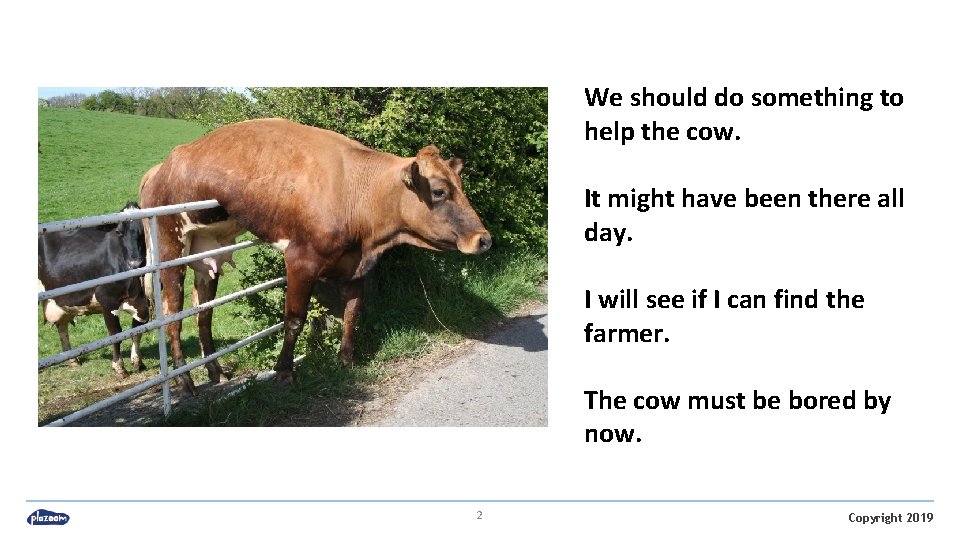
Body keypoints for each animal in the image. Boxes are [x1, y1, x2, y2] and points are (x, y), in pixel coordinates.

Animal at [38, 202, 151, 379]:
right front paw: (119, 367)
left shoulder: (144, 302)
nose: (135, 263)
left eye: (143, 230)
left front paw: (137, 362)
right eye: (118, 232)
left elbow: (137, 330)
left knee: (62, 325)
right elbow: (116, 334)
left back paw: (72, 360)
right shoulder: (107, 299)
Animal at [139, 118, 491, 393]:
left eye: (460, 186)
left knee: (203, 313)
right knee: (172, 315)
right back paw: (185, 383)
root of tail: (160, 168)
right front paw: (284, 372)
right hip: (170, 247)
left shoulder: (356, 265)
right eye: (439, 191)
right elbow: (294, 319)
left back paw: (216, 371)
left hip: (206, 251)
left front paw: (346, 360)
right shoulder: (301, 261)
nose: (484, 239)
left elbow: (352, 312)